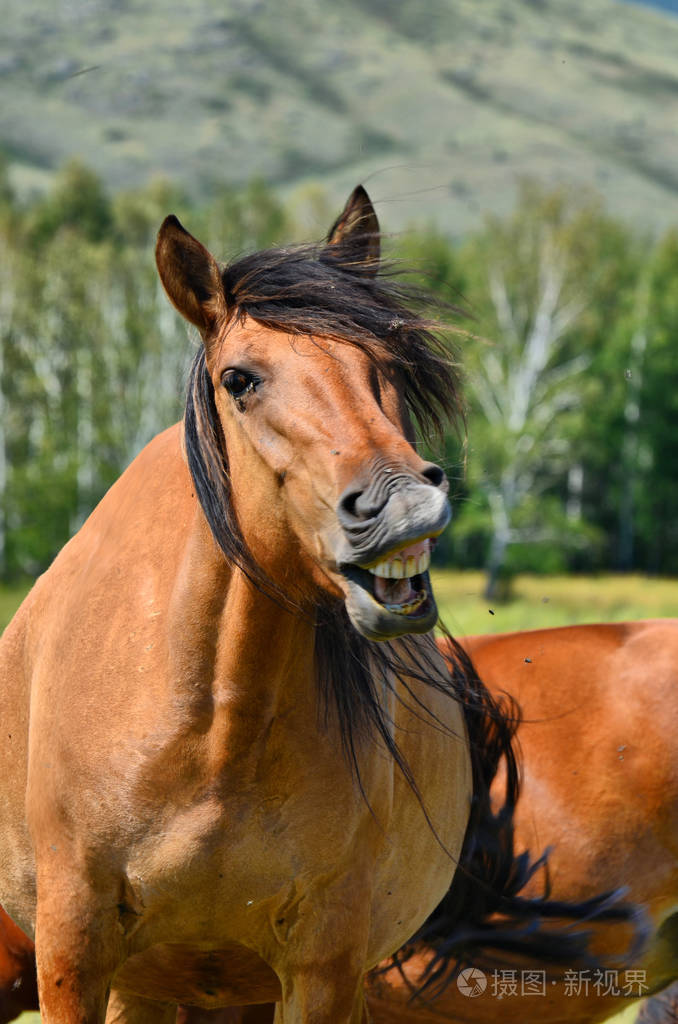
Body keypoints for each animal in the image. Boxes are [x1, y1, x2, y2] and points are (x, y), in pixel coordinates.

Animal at [0, 184, 532, 1024]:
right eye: (239, 379)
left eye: (387, 359)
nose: (404, 506)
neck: (212, 732)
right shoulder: (73, 953)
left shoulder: (323, 966)